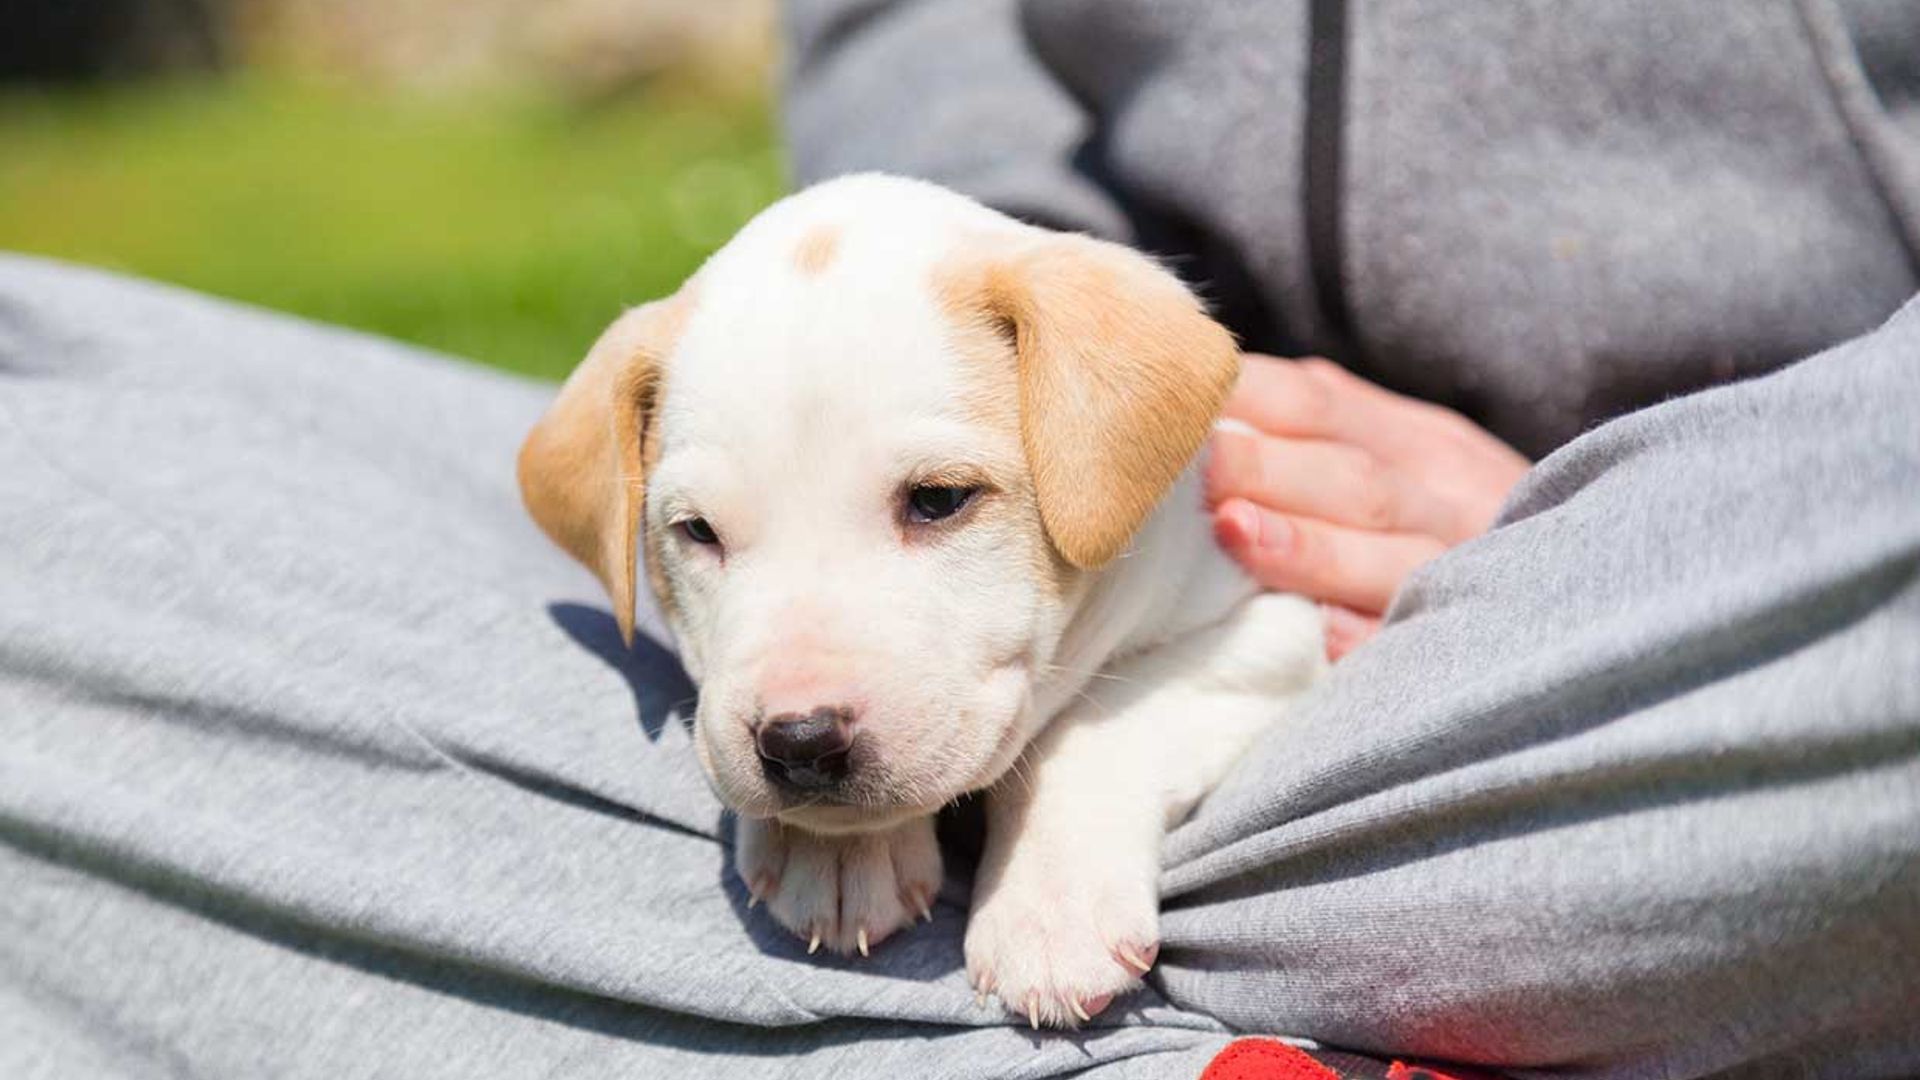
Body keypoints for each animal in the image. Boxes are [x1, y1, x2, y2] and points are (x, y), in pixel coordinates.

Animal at [514, 174, 1320, 1022]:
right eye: (697, 530)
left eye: (938, 499)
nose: (800, 741)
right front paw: (836, 853)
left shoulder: (1268, 628)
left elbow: (1099, 721)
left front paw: (1049, 914)